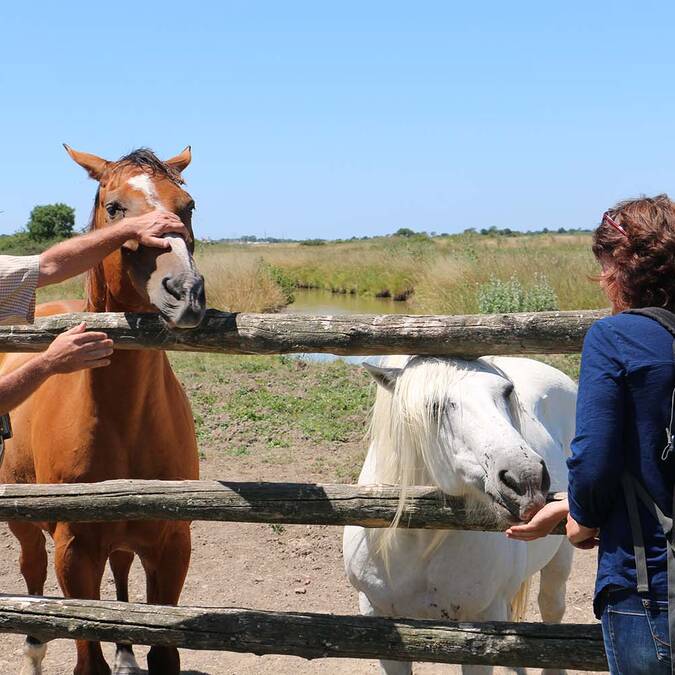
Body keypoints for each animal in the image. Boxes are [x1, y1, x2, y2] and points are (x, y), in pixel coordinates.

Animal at [0, 146, 206, 675]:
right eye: (115, 208)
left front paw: (133, 652)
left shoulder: (172, 546)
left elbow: (162, 652)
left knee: (121, 570)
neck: (125, 421)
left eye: (188, 205)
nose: (186, 292)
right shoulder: (75, 552)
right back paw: (35, 643)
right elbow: (87, 657)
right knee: (32, 573)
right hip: (26, 524)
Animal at [343, 355, 576, 675]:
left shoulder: (479, 629)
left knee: (552, 612)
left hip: (560, 560)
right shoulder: (381, 622)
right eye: (434, 406)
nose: (526, 480)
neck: (419, 542)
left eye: (506, 391)